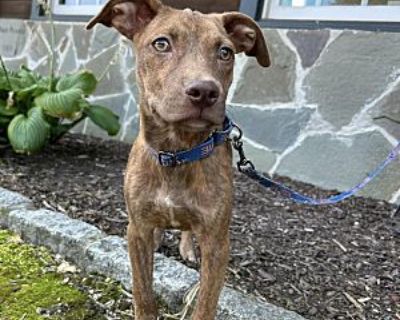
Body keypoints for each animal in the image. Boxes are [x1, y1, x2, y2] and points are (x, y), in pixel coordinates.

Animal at [87, 1, 268, 318]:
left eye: (225, 52)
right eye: (161, 43)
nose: (205, 91)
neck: (176, 152)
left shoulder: (217, 244)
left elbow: (205, 304)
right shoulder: (136, 231)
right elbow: (143, 292)